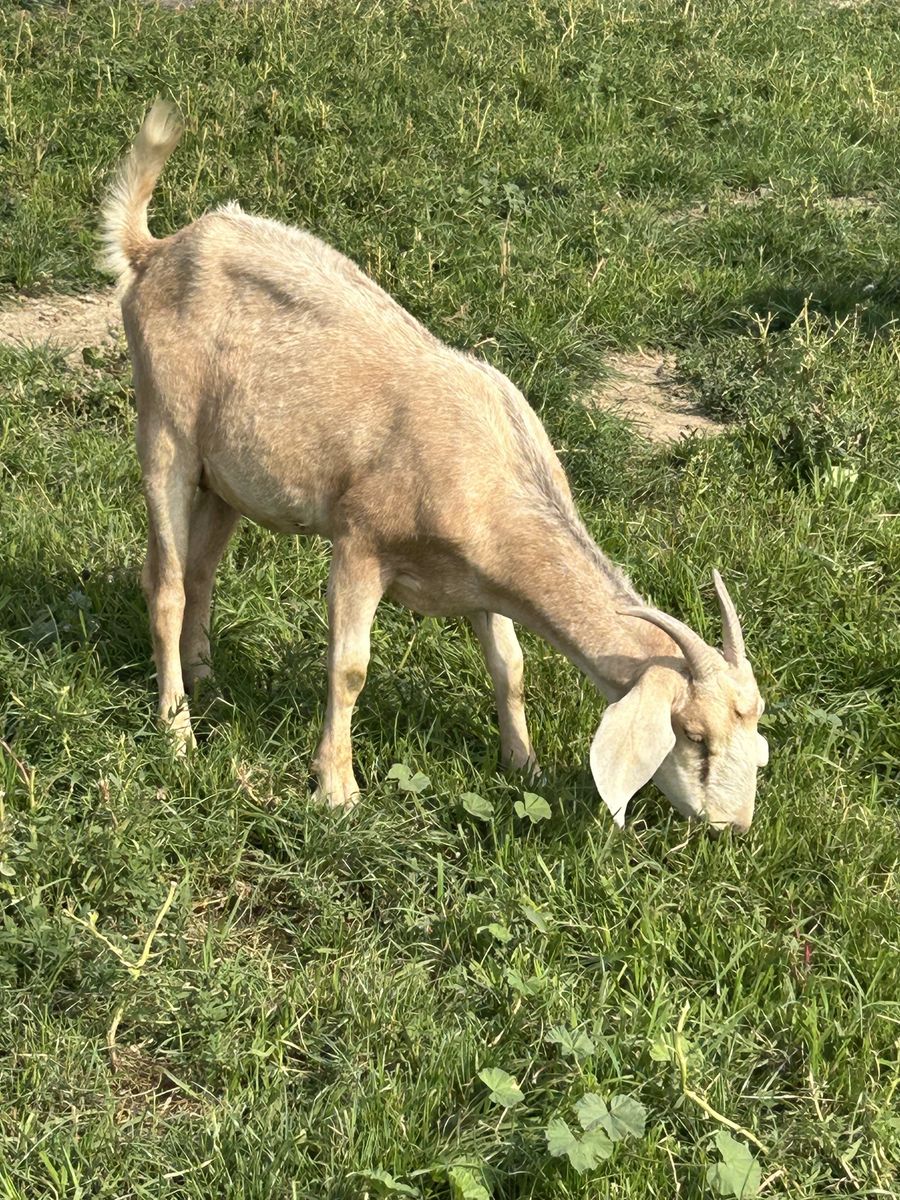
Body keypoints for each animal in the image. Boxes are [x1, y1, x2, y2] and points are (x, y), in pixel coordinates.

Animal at [101, 102, 768, 832]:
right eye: (694, 735)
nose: (733, 825)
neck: (489, 465)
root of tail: (154, 251)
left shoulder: (483, 582)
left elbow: (511, 666)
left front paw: (524, 765)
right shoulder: (360, 542)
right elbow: (350, 668)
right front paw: (336, 789)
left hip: (226, 480)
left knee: (200, 570)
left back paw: (207, 682)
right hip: (164, 430)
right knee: (165, 583)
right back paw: (177, 731)